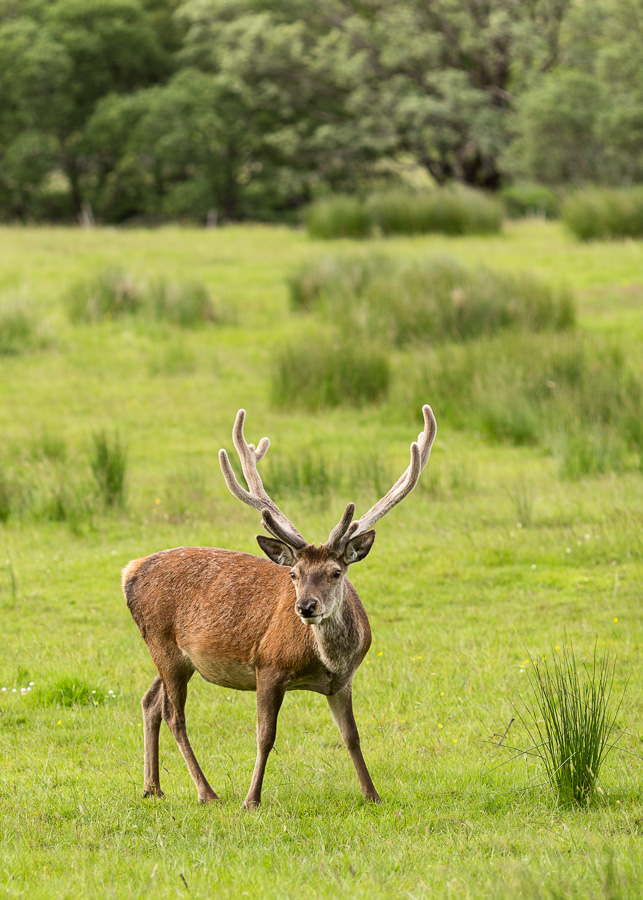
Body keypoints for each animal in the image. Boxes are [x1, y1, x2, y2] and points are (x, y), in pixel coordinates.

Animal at [123, 404, 436, 808]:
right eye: (294, 573)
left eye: (336, 572)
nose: (305, 607)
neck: (325, 660)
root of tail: (129, 570)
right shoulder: (268, 666)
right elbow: (265, 736)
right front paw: (251, 799)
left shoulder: (343, 682)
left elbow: (352, 737)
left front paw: (372, 794)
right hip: (162, 643)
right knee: (174, 715)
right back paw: (206, 792)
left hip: (177, 656)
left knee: (150, 701)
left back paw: (152, 787)